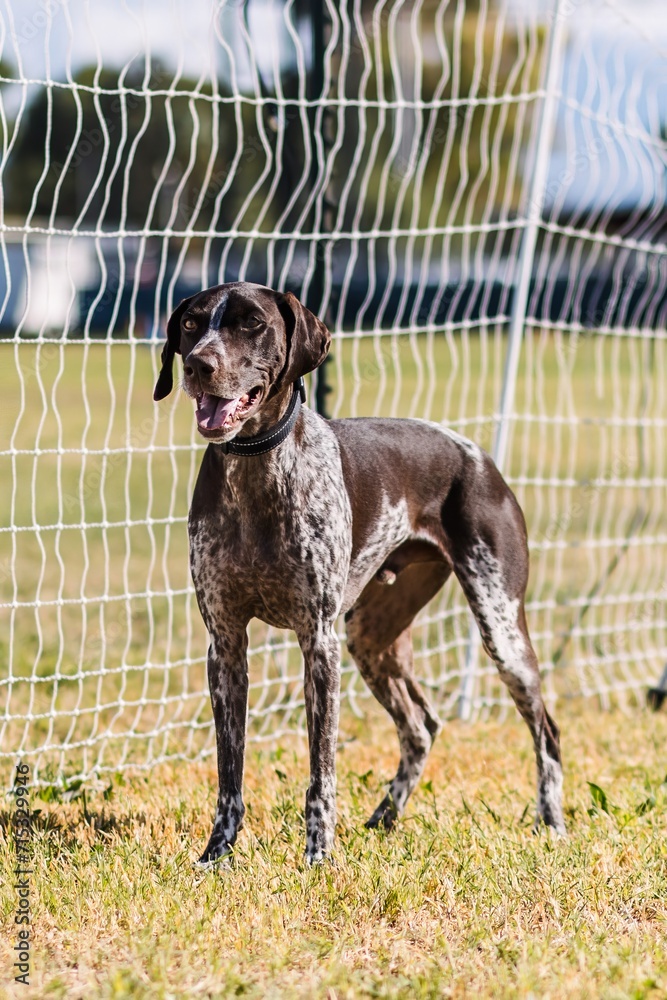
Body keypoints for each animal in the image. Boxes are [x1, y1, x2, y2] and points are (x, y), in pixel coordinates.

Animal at [154, 284, 568, 868]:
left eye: (251, 323)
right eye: (191, 324)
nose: (197, 365)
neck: (258, 470)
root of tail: (478, 455)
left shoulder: (318, 642)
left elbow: (320, 773)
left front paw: (318, 857)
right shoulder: (226, 646)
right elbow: (229, 773)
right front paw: (217, 854)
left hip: (500, 629)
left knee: (545, 731)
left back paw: (551, 824)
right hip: (372, 638)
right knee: (421, 728)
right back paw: (384, 818)